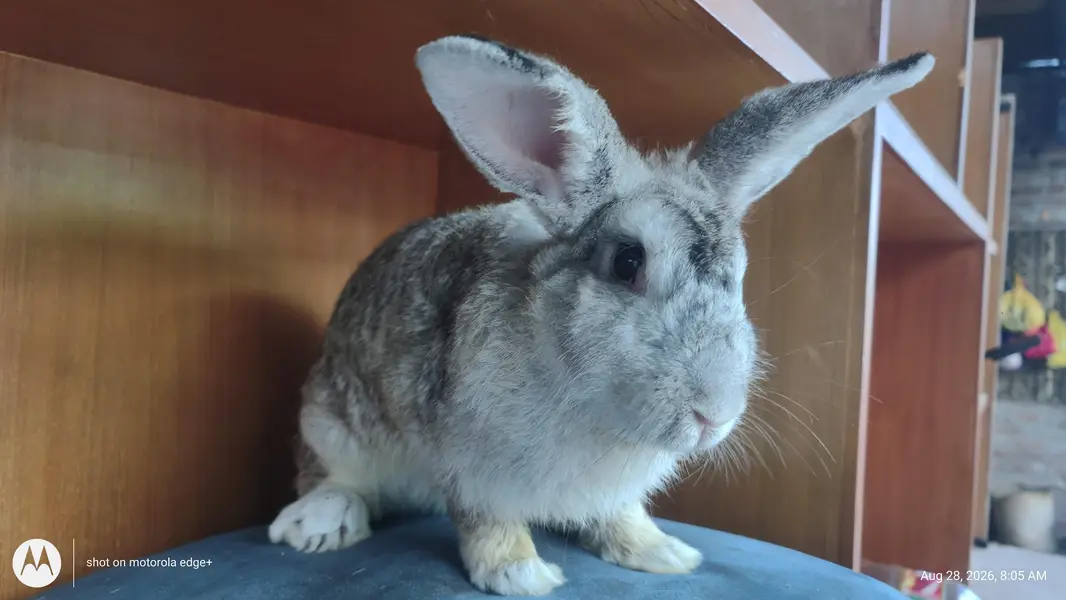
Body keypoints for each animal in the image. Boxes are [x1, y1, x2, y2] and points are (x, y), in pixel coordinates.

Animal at [268, 34, 934, 596]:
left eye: (741, 274)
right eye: (626, 261)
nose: (714, 415)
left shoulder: (612, 492)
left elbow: (621, 517)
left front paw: (664, 554)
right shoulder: (474, 466)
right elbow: (487, 522)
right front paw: (522, 575)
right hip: (328, 419)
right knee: (328, 476)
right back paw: (321, 524)